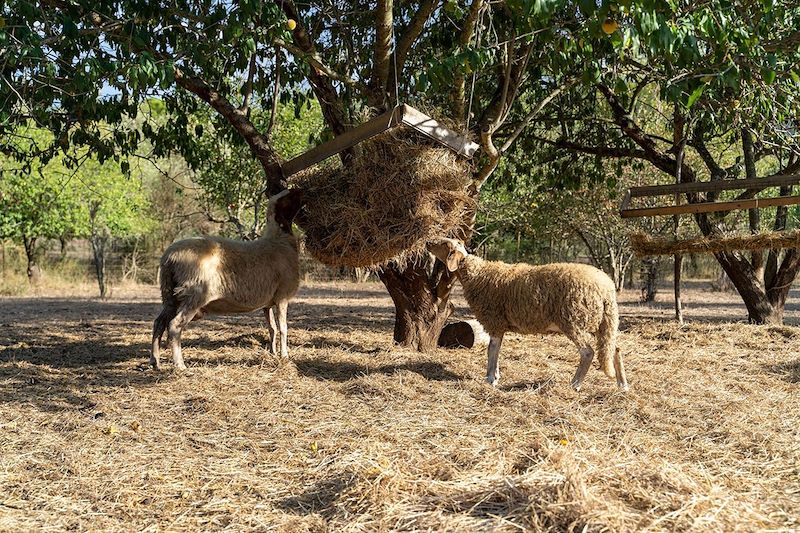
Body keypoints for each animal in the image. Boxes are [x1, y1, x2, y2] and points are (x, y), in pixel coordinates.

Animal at [428, 238, 628, 390]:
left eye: (444, 243)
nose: (428, 243)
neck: (476, 275)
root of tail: (607, 288)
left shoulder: (495, 320)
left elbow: (491, 350)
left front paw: (491, 378)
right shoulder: (500, 324)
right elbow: (496, 349)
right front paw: (495, 376)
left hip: (574, 320)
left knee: (588, 352)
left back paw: (575, 384)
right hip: (600, 321)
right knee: (614, 348)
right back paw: (622, 385)